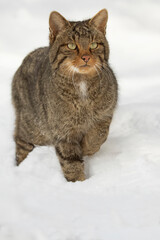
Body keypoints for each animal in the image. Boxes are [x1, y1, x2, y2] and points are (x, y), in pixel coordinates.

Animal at [12, 9, 117, 182]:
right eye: (71, 45)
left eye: (94, 45)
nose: (86, 57)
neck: (82, 85)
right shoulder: (63, 132)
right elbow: (70, 161)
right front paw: (78, 183)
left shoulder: (106, 113)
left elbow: (99, 134)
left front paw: (87, 148)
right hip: (32, 129)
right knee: (20, 142)